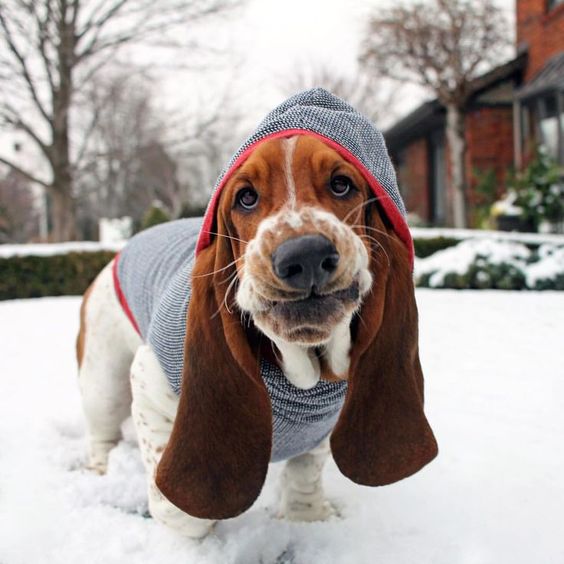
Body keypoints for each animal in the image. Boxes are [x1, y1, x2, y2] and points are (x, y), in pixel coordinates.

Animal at [76, 88, 436, 536]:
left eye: (341, 185)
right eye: (246, 197)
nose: (306, 254)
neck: (301, 371)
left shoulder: (321, 428)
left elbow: (304, 476)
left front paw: (307, 517)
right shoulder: (149, 384)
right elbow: (177, 506)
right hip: (103, 382)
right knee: (101, 437)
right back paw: (101, 473)